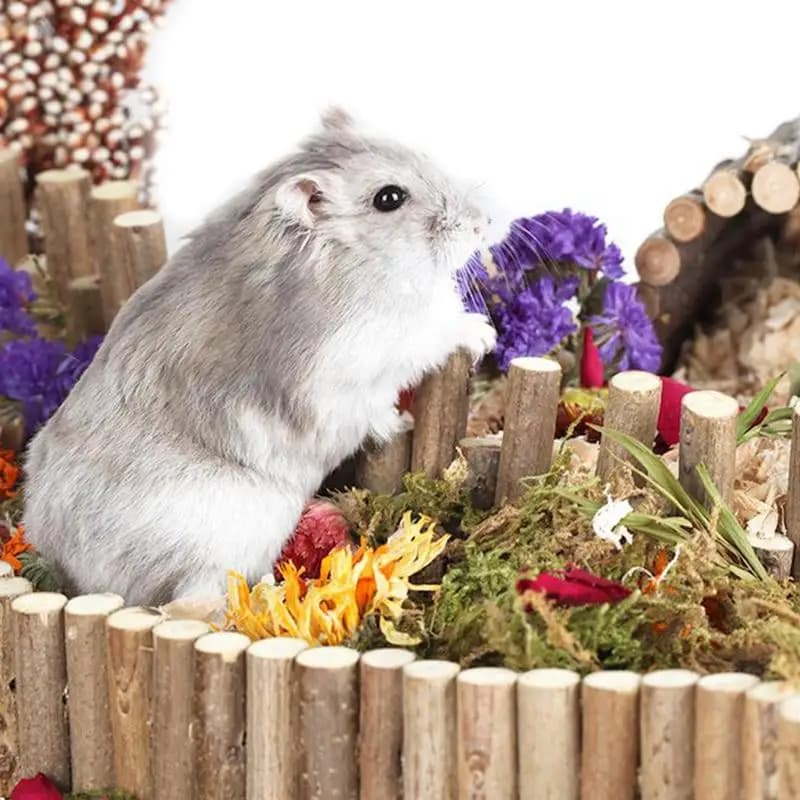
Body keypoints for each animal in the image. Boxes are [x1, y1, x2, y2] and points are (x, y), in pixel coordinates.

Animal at [22, 109, 496, 606]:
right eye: (389, 198)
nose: (483, 222)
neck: (355, 261)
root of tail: (70, 573)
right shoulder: (374, 348)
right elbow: (433, 337)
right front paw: (481, 336)